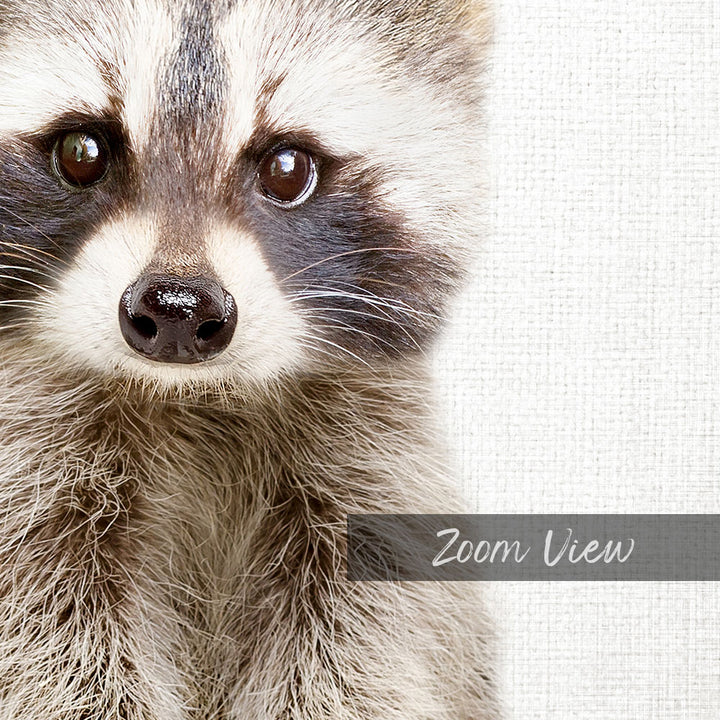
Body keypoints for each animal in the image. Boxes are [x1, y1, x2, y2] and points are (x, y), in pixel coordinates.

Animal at [0, 1, 496, 718]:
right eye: (81, 152)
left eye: (288, 167)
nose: (177, 309)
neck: (192, 397)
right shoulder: (35, 482)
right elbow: (53, 652)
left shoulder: (377, 483)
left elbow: (359, 662)